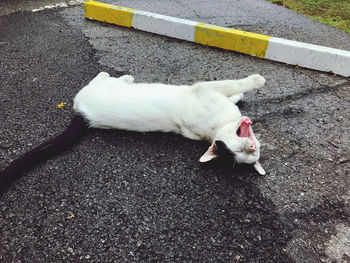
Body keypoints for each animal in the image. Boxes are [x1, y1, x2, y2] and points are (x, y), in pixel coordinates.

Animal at [74, 72, 266, 175]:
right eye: (237, 151)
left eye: (251, 154)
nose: (251, 147)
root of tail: (81, 112)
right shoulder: (205, 88)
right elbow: (235, 85)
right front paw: (255, 81)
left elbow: (233, 94)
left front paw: (238, 97)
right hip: (98, 88)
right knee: (95, 82)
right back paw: (120, 77)